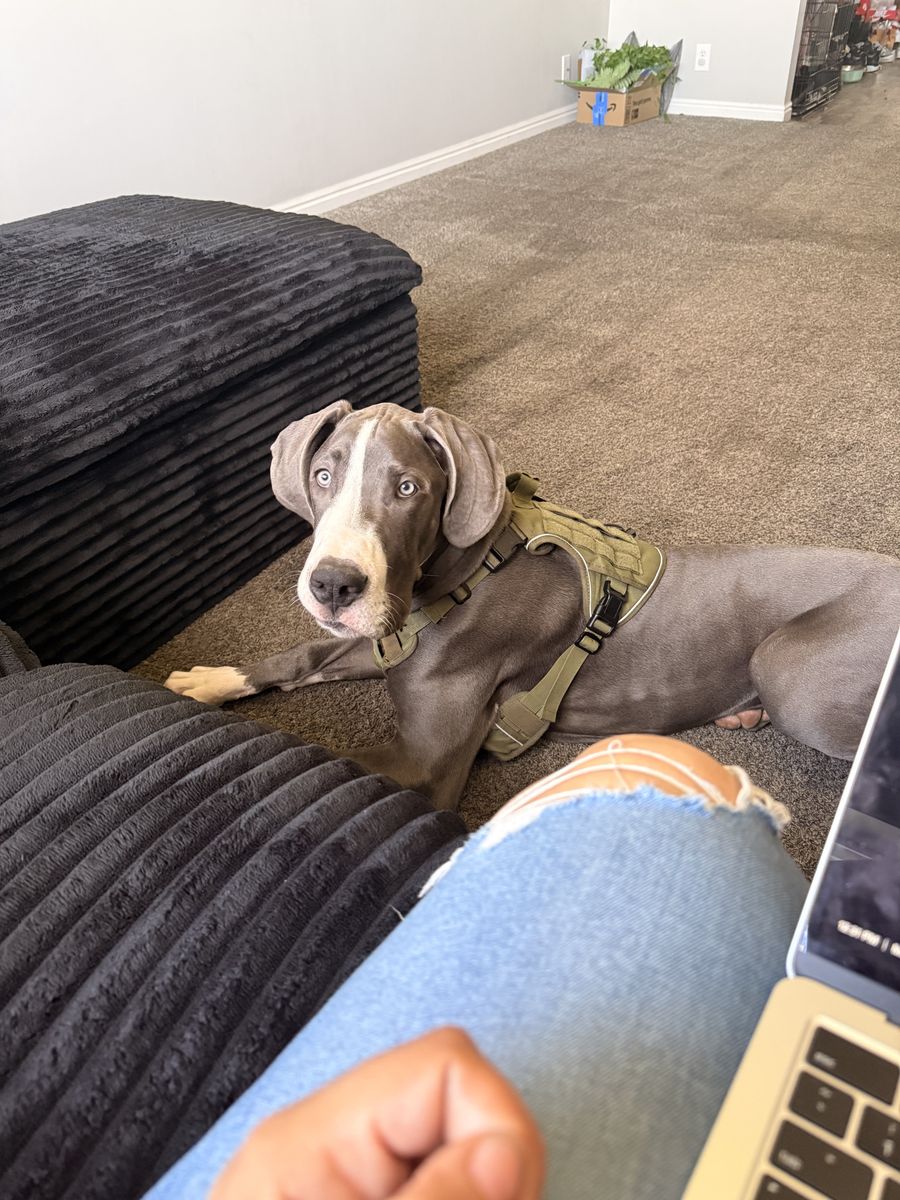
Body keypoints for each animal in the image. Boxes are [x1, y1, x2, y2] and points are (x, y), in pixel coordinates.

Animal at [165, 401, 900, 810]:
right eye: (323, 476)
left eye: (407, 488)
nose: (334, 585)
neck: (461, 574)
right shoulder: (386, 635)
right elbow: (308, 650)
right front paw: (210, 680)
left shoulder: (425, 759)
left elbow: (321, 754)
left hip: (790, 671)